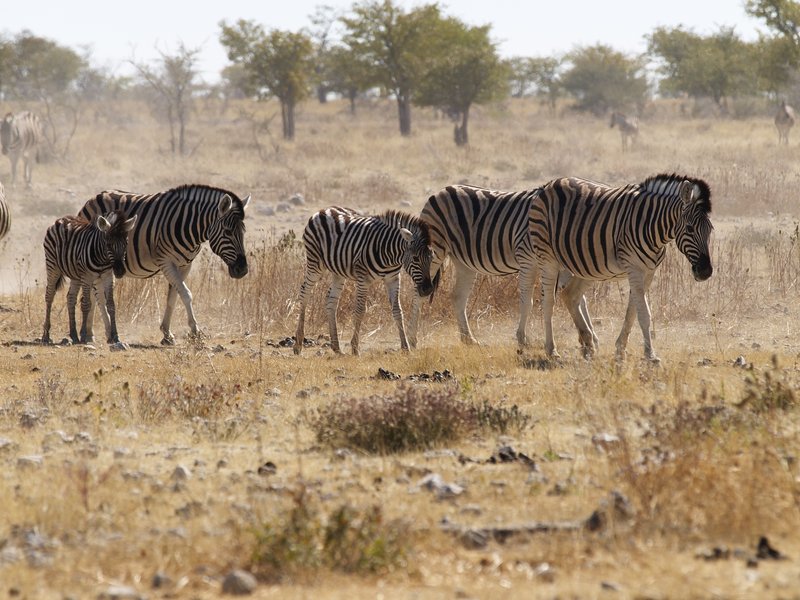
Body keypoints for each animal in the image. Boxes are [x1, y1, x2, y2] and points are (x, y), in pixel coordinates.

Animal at [42, 210, 137, 345]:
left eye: (126, 243)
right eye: (109, 244)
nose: (120, 271)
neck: (103, 259)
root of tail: (62, 219)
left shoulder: (108, 277)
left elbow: (111, 305)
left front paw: (115, 336)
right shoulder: (87, 277)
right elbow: (86, 304)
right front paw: (83, 335)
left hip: (75, 275)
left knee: (70, 298)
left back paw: (73, 335)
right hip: (52, 265)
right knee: (49, 296)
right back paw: (46, 335)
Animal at [77, 184, 250, 345]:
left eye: (243, 232)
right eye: (228, 232)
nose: (242, 270)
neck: (188, 225)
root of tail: (92, 199)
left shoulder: (185, 265)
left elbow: (173, 296)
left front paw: (167, 334)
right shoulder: (166, 261)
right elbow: (186, 294)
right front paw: (195, 331)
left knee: (93, 294)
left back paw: (91, 333)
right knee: (97, 295)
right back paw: (100, 334)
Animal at [293, 206, 435, 356]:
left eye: (431, 258)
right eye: (415, 258)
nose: (428, 289)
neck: (390, 254)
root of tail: (324, 209)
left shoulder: (393, 278)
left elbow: (397, 311)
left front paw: (405, 347)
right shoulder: (363, 279)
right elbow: (360, 310)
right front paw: (355, 349)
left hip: (338, 272)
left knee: (331, 301)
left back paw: (336, 347)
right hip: (315, 263)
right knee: (304, 294)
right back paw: (298, 344)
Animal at [406, 184, 594, 348]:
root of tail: (440, 191)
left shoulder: (563, 268)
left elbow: (579, 298)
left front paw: (589, 336)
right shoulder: (528, 260)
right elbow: (528, 302)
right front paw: (522, 340)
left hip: (464, 263)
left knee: (458, 296)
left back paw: (469, 339)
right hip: (435, 251)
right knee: (419, 293)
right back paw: (412, 339)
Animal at [530, 173, 713, 363]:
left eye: (710, 230)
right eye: (690, 228)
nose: (705, 271)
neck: (652, 226)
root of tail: (548, 185)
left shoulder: (648, 272)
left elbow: (632, 312)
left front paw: (621, 349)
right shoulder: (635, 269)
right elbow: (644, 313)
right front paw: (650, 355)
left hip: (585, 265)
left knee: (570, 295)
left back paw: (588, 344)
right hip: (547, 257)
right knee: (548, 301)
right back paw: (552, 350)